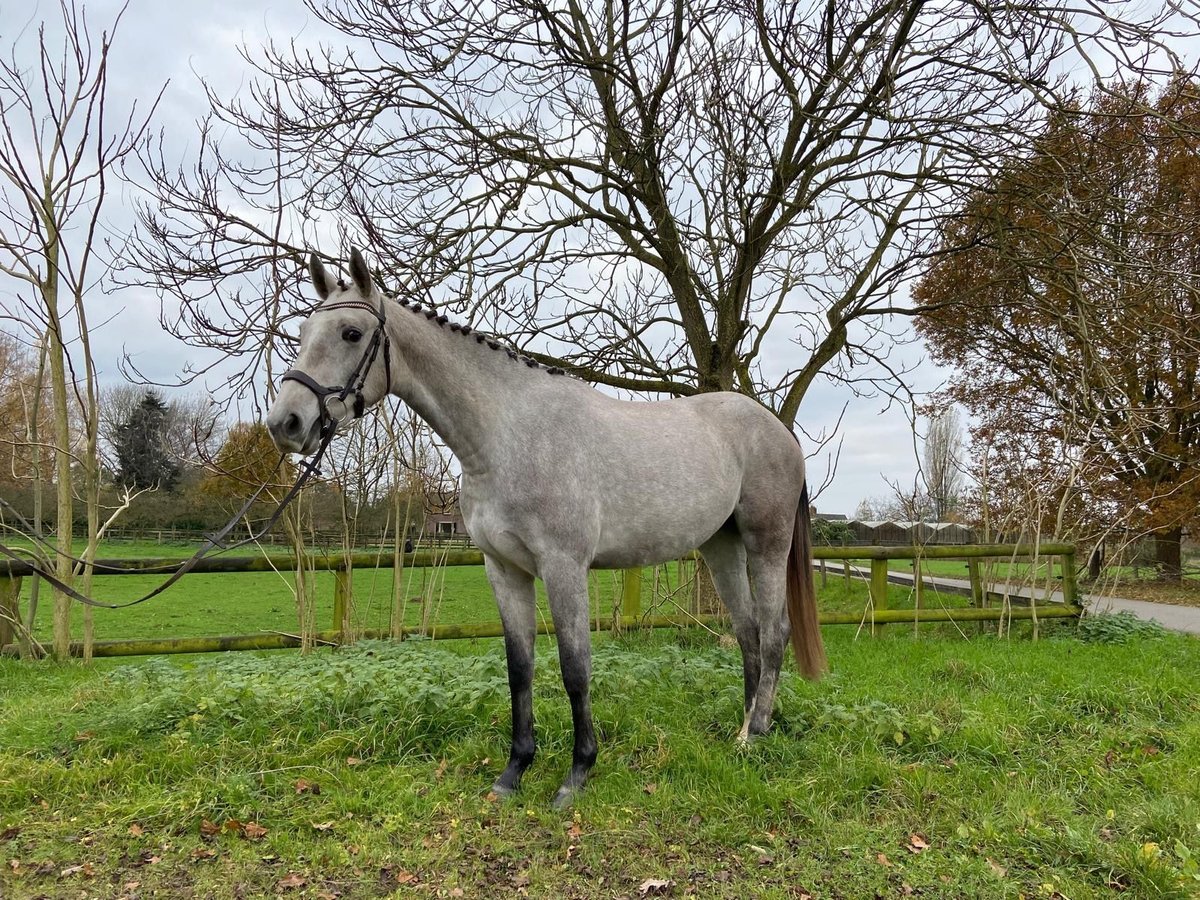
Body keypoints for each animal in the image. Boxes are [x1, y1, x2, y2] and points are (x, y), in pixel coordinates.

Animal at [265, 248, 825, 811]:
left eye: (351, 333)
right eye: (303, 330)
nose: (285, 423)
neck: (507, 437)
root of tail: (778, 430)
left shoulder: (563, 568)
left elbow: (575, 669)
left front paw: (576, 775)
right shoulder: (504, 569)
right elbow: (520, 669)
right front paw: (514, 772)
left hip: (766, 544)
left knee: (773, 632)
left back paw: (756, 734)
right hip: (721, 548)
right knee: (748, 631)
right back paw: (742, 728)